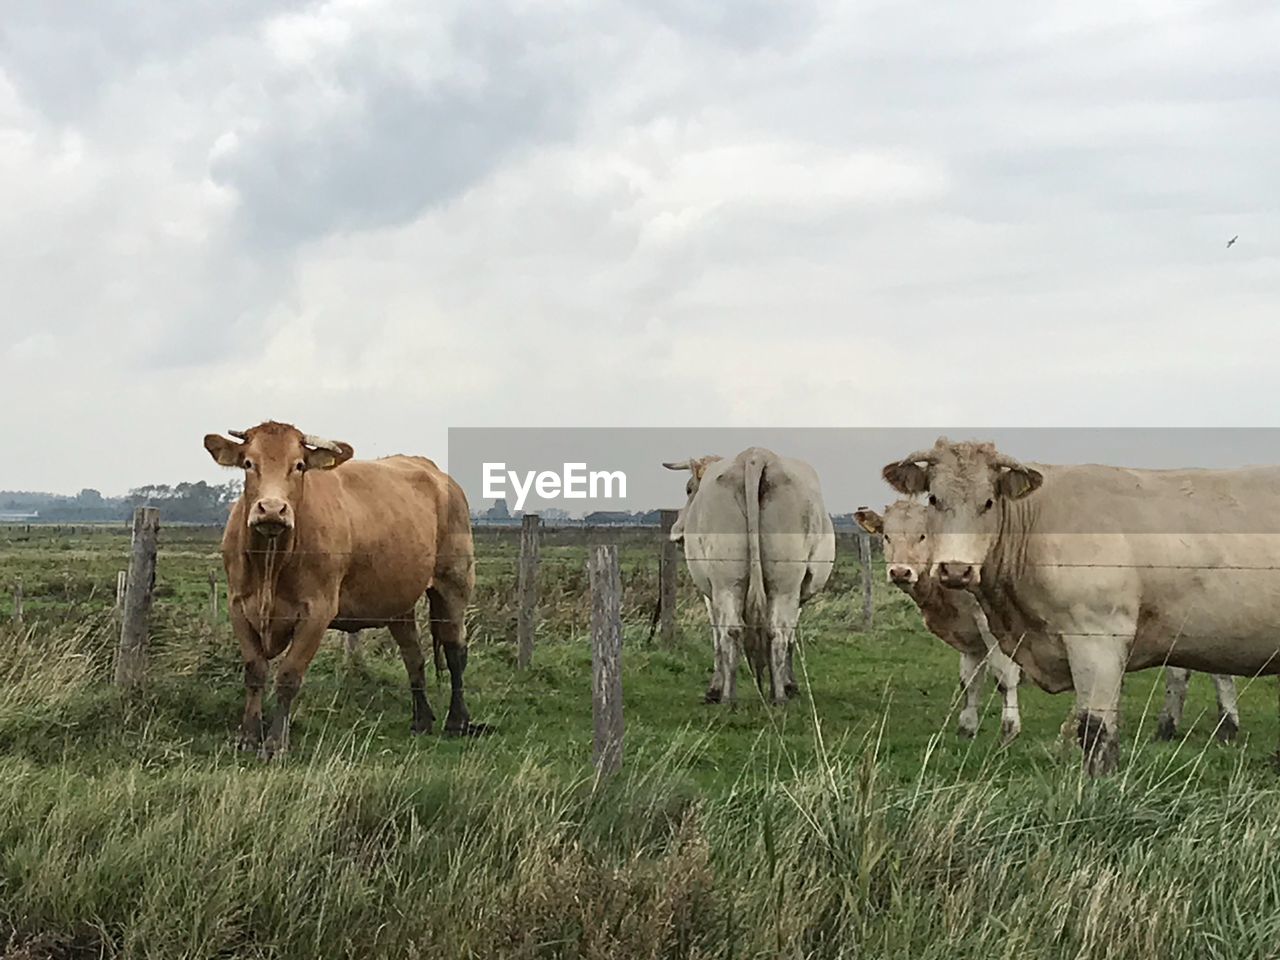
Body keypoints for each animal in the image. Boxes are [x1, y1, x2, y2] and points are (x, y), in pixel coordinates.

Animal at [204, 419, 476, 757]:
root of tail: (436, 473)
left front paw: (277, 743)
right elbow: (255, 672)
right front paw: (249, 737)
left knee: (455, 652)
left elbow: (288, 676)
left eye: (299, 465)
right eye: (248, 463)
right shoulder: (239, 607)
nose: (272, 509)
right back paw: (421, 720)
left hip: (454, 585)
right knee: (413, 655)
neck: (271, 562)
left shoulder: (317, 613)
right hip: (399, 603)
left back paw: (457, 721)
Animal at [665, 450, 834, 706]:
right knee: (772, 631)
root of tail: (756, 455)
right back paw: (775, 696)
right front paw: (789, 684)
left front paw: (714, 689)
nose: (677, 534)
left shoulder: (710, 595)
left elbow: (717, 638)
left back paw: (731, 697)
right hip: (781, 585)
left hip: (730, 584)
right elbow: (790, 638)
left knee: (735, 631)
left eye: (688, 489)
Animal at [855, 504, 1024, 742]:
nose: (900, 572)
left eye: (922, 535)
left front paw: (1009, 729)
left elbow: (1004, 677)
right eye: (887, 536)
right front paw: (967, 727)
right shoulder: (969, 632)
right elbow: (969, 681)